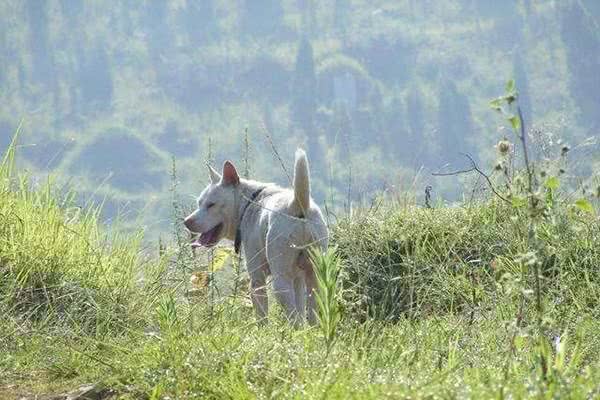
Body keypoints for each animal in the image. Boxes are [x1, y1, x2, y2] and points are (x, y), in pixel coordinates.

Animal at [186, 149, 330, 324]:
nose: (187, 222)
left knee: (293, 318)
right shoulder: (298, 278)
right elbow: (302, 310)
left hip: (281, 281)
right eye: (199, 203)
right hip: (316, 277)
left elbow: (262, 318)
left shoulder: (257, 280)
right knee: (310, 315)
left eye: (211, 204)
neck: (249, 202)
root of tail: (298, 205)